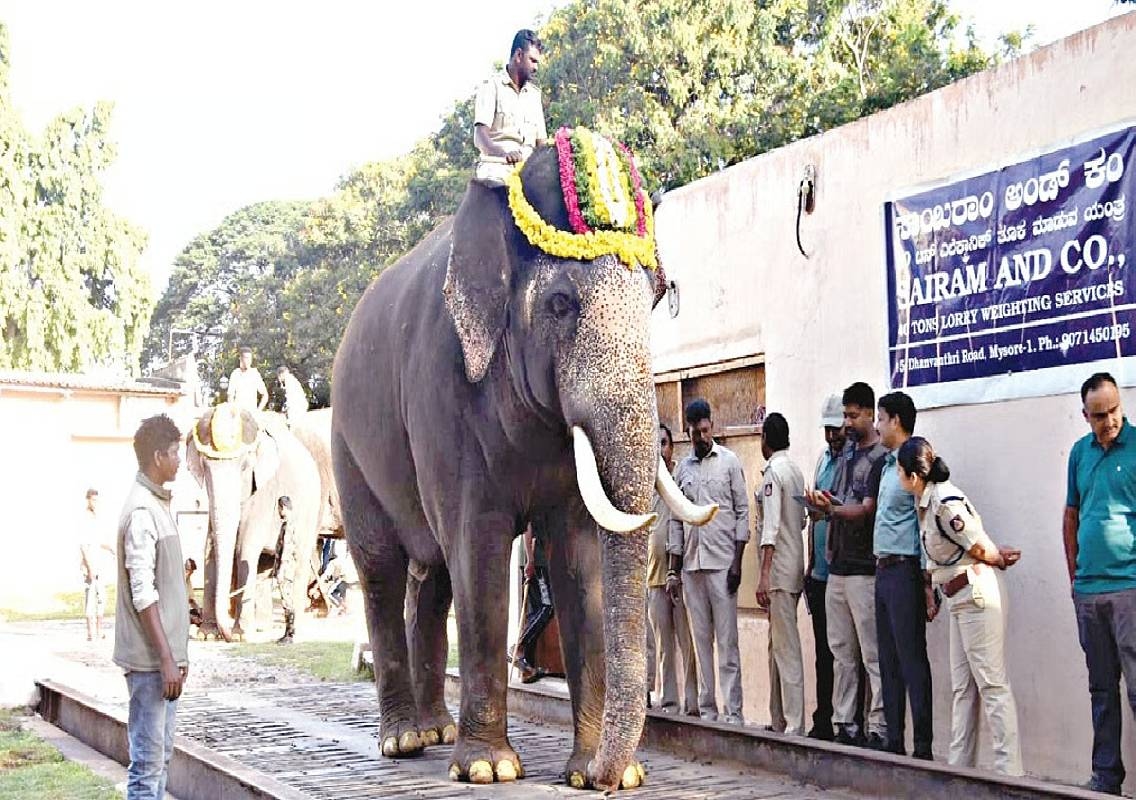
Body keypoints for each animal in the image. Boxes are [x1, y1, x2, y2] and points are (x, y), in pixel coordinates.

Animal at [186, 404, 321, 641]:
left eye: (244, 466)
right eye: (204, 466)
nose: (226, 635)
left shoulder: (264, 492)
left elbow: (245, 548)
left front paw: (240, 635)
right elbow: (210, 549)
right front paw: (207, 635)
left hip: (311, 512)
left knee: (300, 560)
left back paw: (295, 628)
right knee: (266, 566)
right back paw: (262, 628)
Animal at [331, 133, 714, 791]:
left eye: (656, 299)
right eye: (561, 303)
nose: (613, 776)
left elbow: (579, 553)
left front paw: (591, 774)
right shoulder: (445, 393)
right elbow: (478, 550)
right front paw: (490, 769)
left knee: (431, 577)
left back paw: (436, 733)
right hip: (347, 447)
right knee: (382, 568)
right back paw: (404, 741)